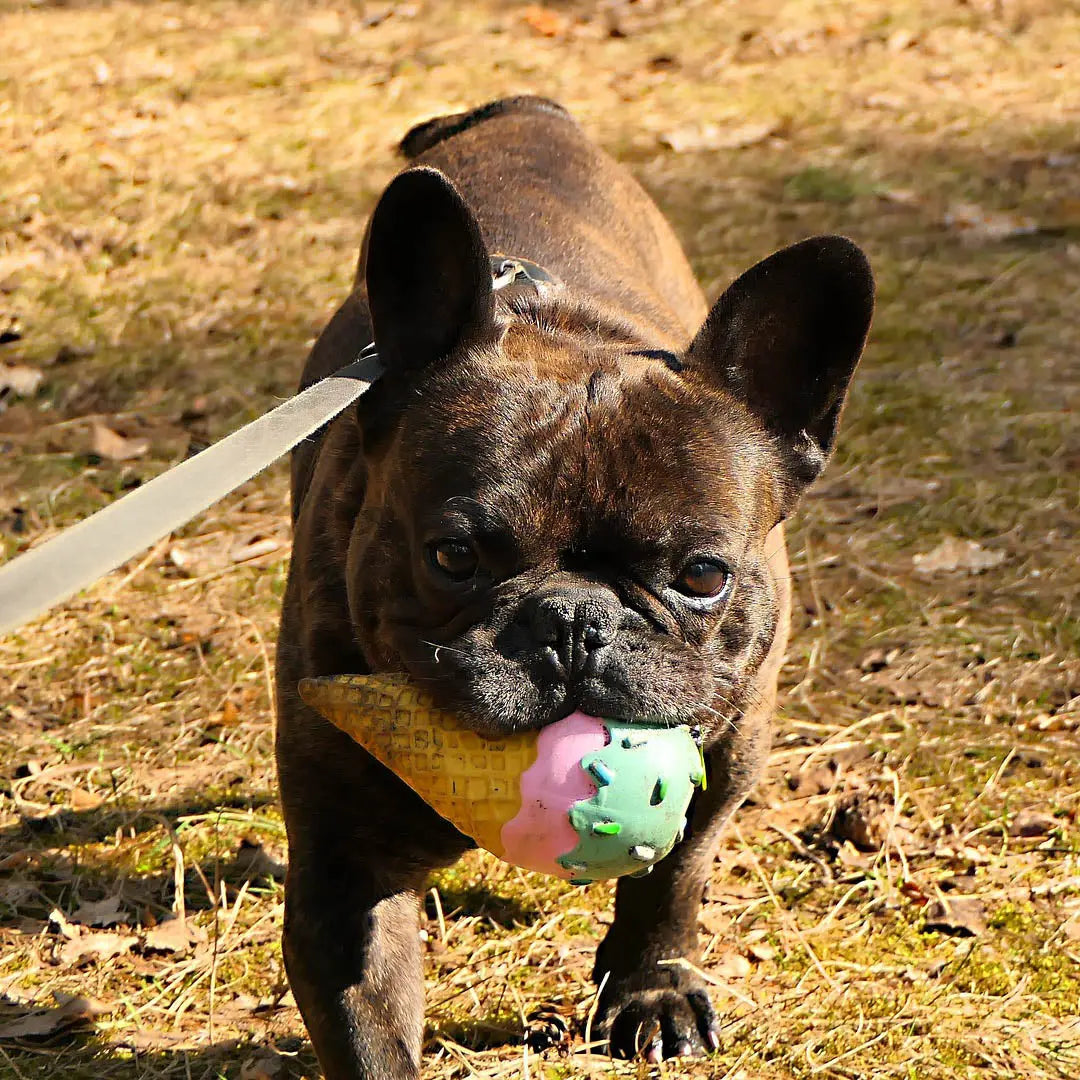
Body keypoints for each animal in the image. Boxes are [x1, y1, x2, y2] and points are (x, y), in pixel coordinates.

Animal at [275, 95, 873, 1078]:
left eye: (702, 575)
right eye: (452, 556)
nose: (572, 621)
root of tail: (525, 108)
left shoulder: (732, 751)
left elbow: (675, 875)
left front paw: (650, 988)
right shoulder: (343, 872)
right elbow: (371, 1022)